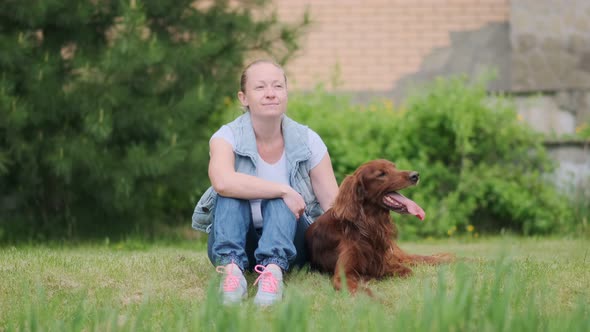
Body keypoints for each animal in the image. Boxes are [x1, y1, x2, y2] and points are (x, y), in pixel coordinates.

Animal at [308, 160, 456, 294]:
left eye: (394, 167)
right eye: (381, 174)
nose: (415, 175)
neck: (367, 225)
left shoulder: (384, 263)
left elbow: (407, 270)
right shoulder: (343, 276)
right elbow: (364, 291)